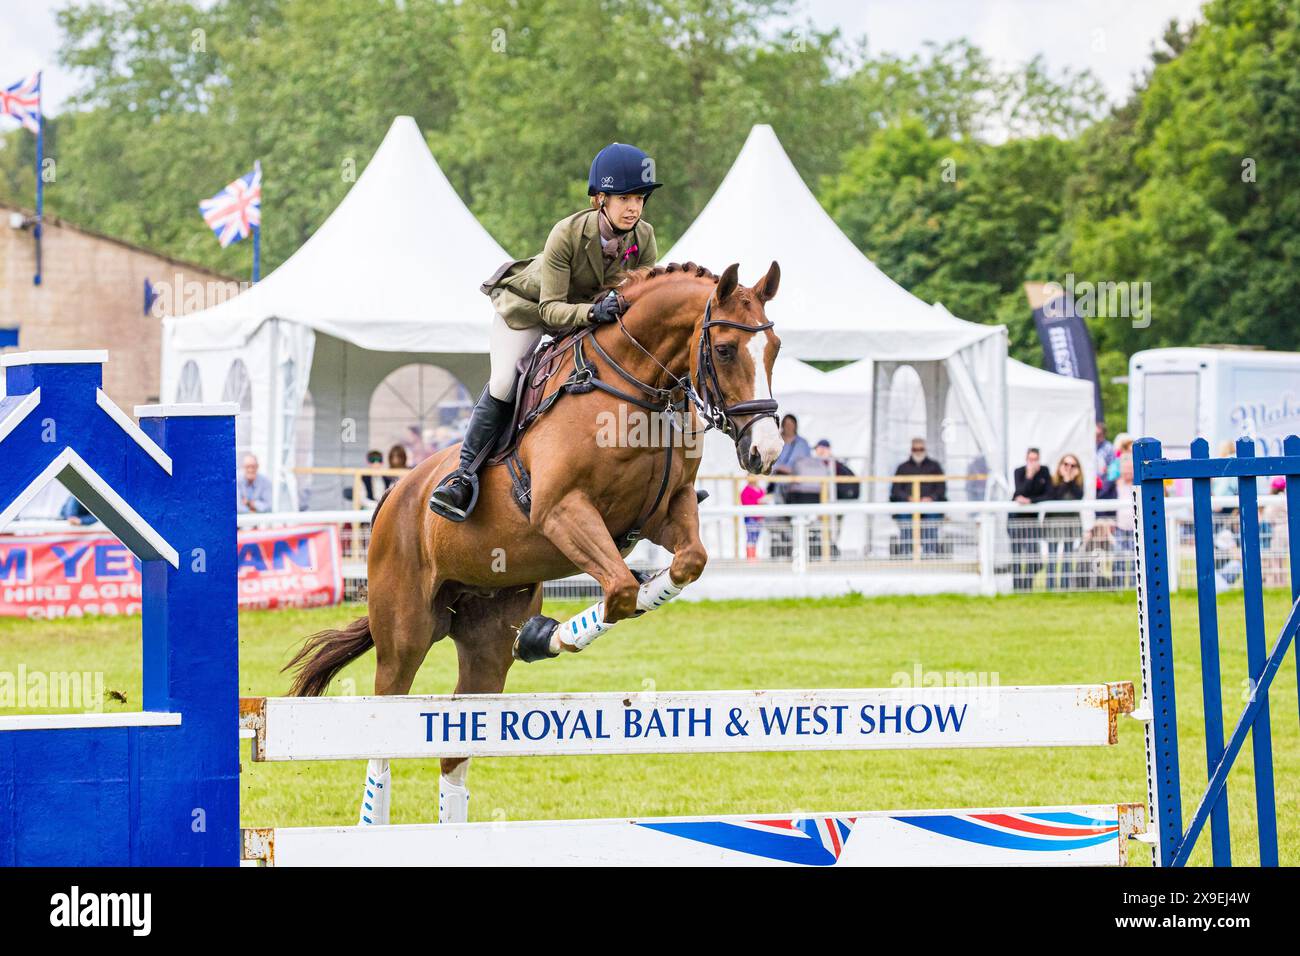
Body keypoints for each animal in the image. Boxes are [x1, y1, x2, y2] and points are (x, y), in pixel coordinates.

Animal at [283, 260, 774, 822]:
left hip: (485, 640)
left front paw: (548, 633)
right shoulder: (562, 511)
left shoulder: (667, 510)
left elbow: (682, 565)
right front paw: (548, 635)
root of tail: (393, 496)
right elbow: (620, 590)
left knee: (454, 746)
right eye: (726, 349)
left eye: (776, 347)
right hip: (404, 632)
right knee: (383, 736)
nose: (765, 451)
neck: (637, 391)